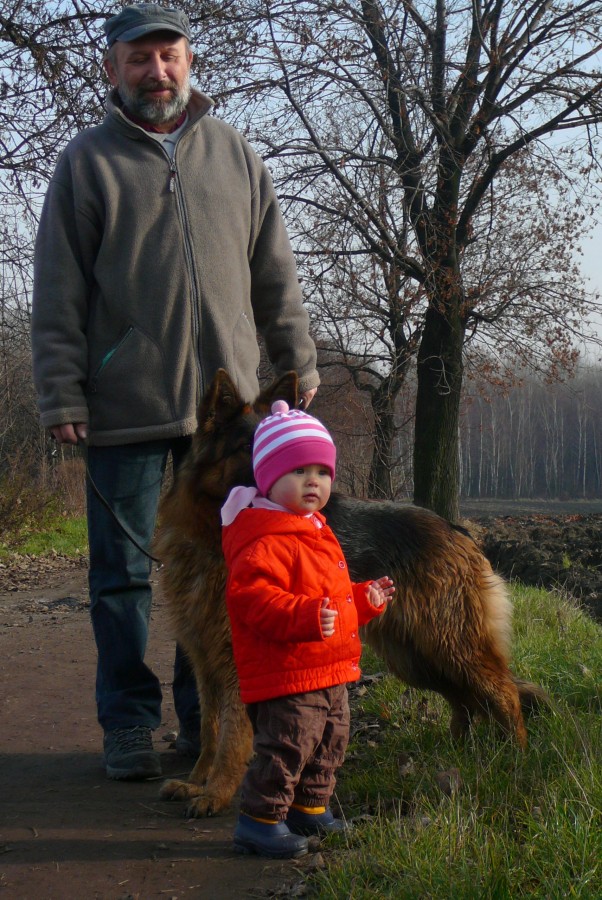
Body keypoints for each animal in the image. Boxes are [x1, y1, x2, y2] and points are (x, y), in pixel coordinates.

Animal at [155, 370, 544, 820]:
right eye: (245, 449)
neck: (212, 537)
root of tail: (456, 528)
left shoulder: (236, 662)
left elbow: (233, 733)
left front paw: (216, 792)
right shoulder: (204, 660)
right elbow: (210, 728)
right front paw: (199, 780)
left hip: (450, 645)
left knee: (504, 693)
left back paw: (517, 756)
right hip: (416, 659)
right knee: (464, 699)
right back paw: (459, 750)